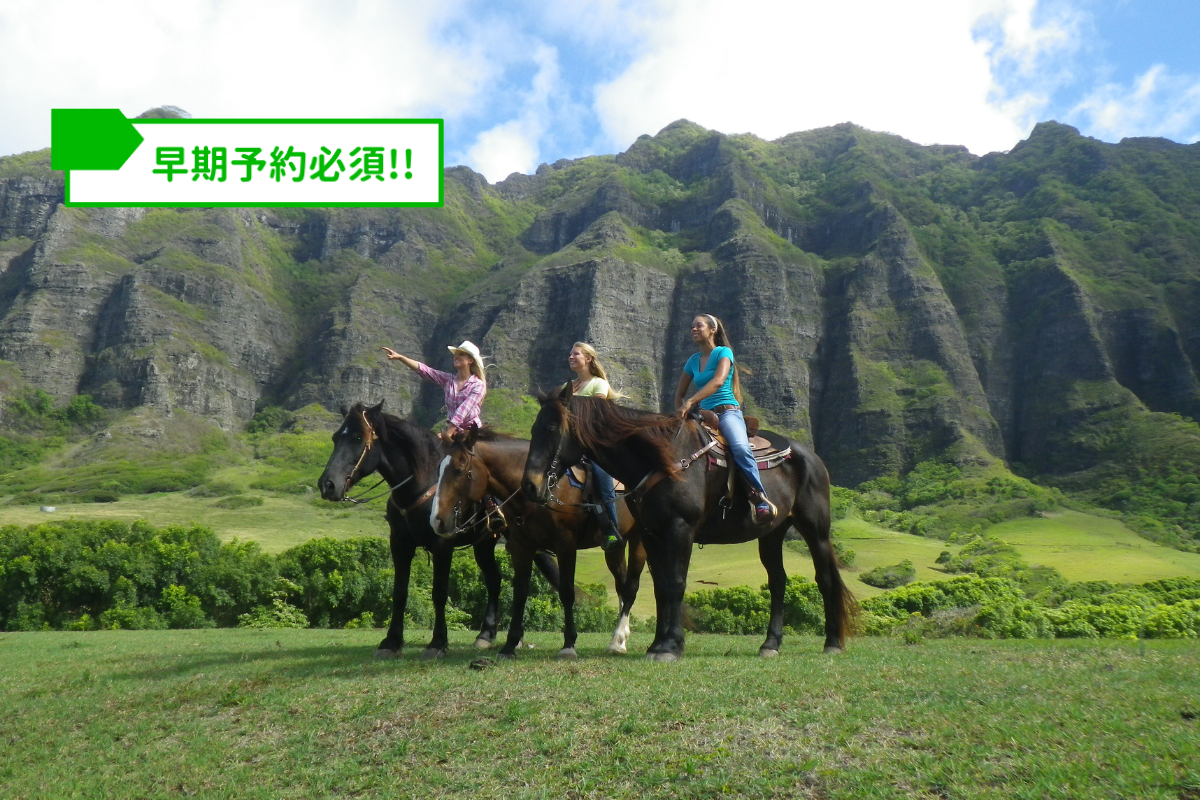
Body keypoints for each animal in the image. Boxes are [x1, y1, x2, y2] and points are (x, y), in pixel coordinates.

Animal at [427, 429, 643, 662]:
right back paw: (619, 641)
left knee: (631, 587)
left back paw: (617, 638)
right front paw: (509, 645)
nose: (437, 521)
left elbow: (567, 592)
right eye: (438, 470)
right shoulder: (522, 547)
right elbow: (520, 592)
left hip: (639, 540)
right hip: (616, 547)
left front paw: (568, 644)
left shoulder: (565, 546)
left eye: (459, 470)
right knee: (621, 585)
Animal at [523, 388, 854, 662]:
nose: (530, 486)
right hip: (772, 533)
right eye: (534, 428)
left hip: (815, 530)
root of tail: (810, 456)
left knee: (825, 578)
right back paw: (770, 644)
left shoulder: (680, 529)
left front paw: (671, 646)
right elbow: (661, 587)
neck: (662, 460)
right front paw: (657, 644)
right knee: (777, 582)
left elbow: (676, 583)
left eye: (551, 428)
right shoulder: (651, 535)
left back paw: (832, 643)